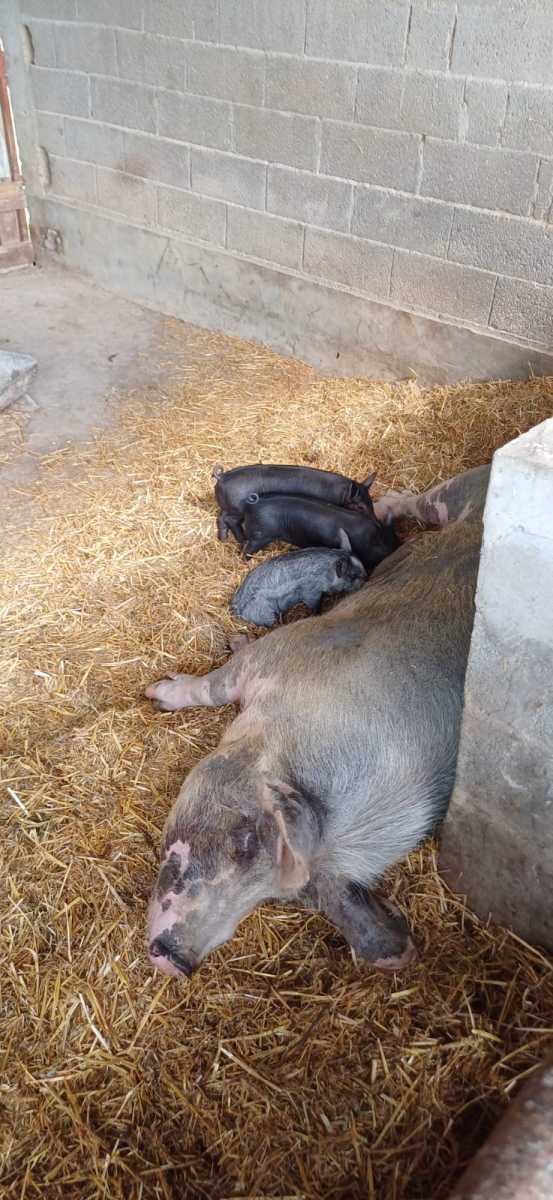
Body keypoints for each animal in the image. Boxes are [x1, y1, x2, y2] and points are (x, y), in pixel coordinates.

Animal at [213, 463, 377, 544]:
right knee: (229, 520)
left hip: (228, 507)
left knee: (220, 517)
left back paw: (223, 540)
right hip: (237, 509)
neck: (341, 495)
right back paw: (241, 540)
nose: (376, 522)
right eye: (360, 506)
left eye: (371, 501)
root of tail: (221, 477)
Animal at [230, 548, 367, 627]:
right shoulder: (311, 592)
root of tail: (236, 607)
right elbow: (314, 605)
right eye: (352, 575)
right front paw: (317, 614)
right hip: (264, 613)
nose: (366, 577)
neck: (326, 574)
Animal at [240, 493, 398, 572]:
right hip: (259, 535)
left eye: (393, 535)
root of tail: (251, 507)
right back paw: (246, 562)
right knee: (247, 549)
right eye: (378, 544)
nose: (396, 547)